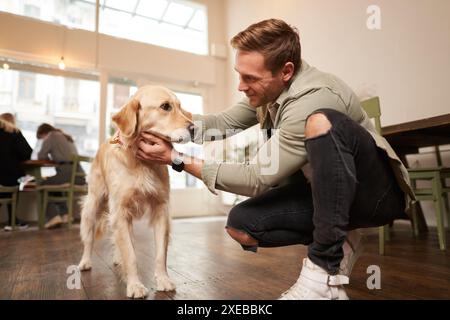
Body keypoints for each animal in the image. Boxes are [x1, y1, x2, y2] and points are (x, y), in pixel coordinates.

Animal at [77, 85, 193, 298]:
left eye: (180, 106)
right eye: (165, 106)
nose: (194, 128)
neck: (142, 162)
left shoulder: (161, 209)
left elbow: (160, 253)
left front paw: (163, 279)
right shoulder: (120, 212)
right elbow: (130, 255)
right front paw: (135, 286)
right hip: (93, 206)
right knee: (89, 239)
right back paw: (85, 261)